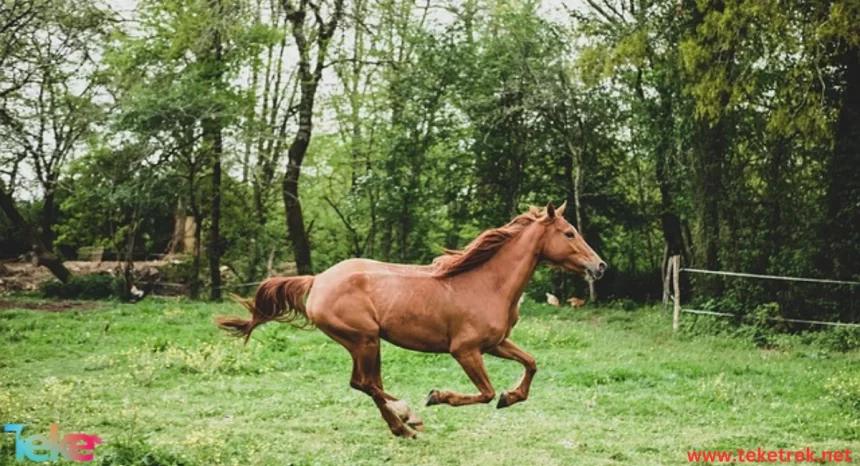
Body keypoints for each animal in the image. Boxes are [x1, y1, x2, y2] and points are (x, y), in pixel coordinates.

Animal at [215, 200, 604, 436]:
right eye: (569, 232)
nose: (599, 266)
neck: (487, 283)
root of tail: (318, 280)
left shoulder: (496, 343)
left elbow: (531, 363)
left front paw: (511, 397)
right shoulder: (465, 350)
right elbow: (485, 392)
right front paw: (438, 396)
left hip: (367, 344)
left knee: (368, 383)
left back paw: (404, 420)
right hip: (363, 340)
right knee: (365, 383)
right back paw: (405, 423)